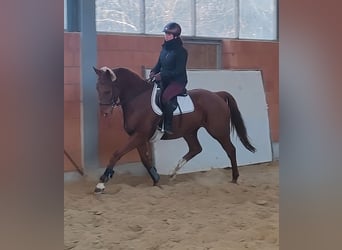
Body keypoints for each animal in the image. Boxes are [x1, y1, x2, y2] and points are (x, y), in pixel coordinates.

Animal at [92, 67, 255, 193]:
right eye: (97, 88)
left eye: (107, 90)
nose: (105, 113)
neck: (137, 99)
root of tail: (217, 95)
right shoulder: (138, 137)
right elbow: (145, 160)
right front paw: (156, 180)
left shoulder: (139, 135)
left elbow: (116, 154)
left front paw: (101, 183)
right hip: (189, 132)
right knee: (196, 148)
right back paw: (173, 173)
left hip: (218, 131)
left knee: (230, 149)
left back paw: (234, 178)